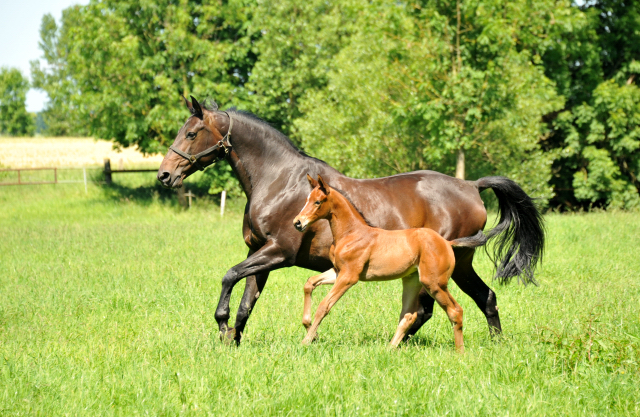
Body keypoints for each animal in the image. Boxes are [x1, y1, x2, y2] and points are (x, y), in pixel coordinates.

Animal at [292, 174, 488, 350]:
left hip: (434, 283)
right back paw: (389, 349)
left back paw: (460, 352)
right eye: (307, 199)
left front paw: (306, 341)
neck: (351, 234)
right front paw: (308, 326)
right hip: (412, 281)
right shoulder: (338, 271)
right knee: (408, 315)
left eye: (318, 202)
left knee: (455, 311)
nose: (297, 222)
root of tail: (447, 243)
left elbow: (324, 305)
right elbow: (309, 283)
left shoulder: (349, 277)